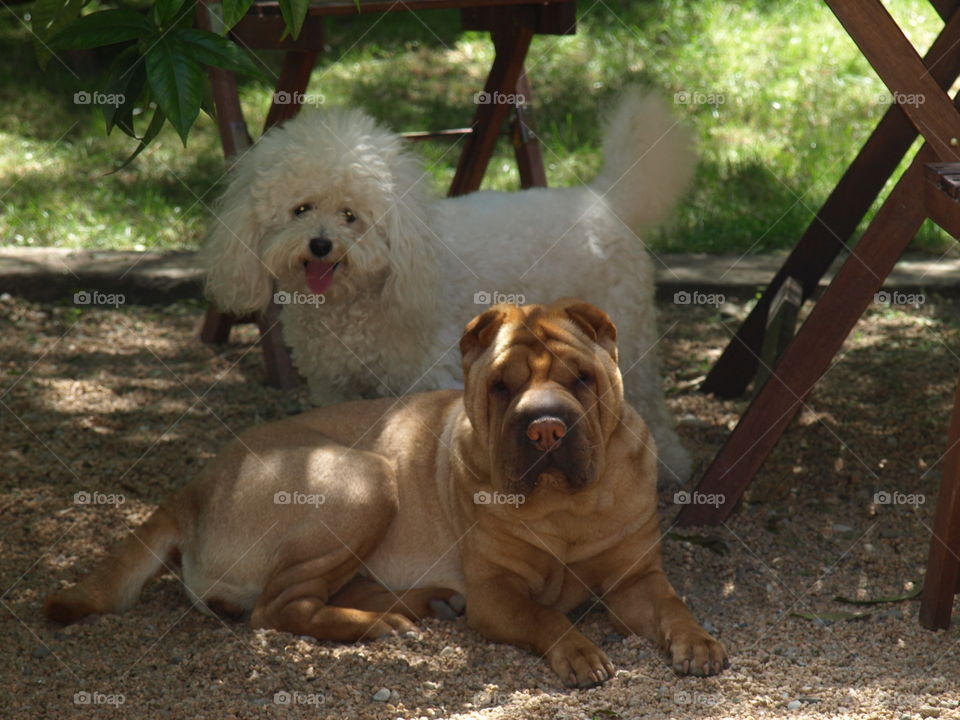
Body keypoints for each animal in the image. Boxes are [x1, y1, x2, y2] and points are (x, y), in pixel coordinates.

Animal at [41, 298, 724, 688]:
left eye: (581, 379)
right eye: (501, 387)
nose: (547, 427)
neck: (567, 508)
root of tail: (193, 487)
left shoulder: (637, 579)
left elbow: (673, 606)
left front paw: (698, 642)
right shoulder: (498, 595)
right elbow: (546, 615)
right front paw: (578, 651)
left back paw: (416, 605)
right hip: (365, 479)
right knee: (280, 608)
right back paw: (383, 625)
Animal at [204, 90, 696, 484]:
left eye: (350, 215)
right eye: (301, 209)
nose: (321, 245)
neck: (360, 297)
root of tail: (603, 199)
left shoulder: (424, 379)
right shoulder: (334, 385)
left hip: (627, 334)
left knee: (648, 403)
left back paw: (666, 465)